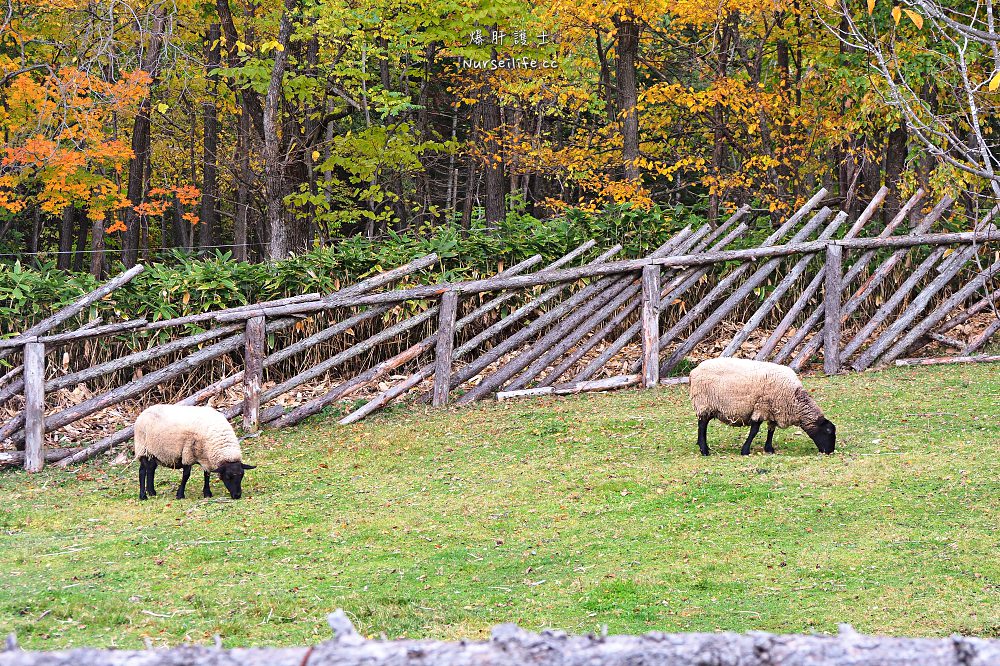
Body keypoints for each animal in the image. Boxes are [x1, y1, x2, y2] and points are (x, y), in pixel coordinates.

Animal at [688, 358, 836, 456]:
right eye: (828, 431)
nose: (830, 451)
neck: (794, 400)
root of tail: (694, 371)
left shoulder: (773, 410)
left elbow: (771, 430)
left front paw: (769, 449)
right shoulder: (761, 407)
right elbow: (754, 430)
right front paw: (745, 450)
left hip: (709, 406)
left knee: (703, 425)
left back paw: (702, 446)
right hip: (704, 403)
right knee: (702, 426)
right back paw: (704, 450)